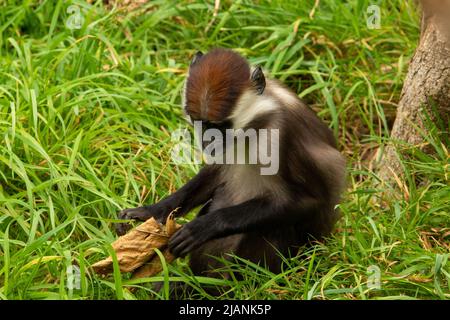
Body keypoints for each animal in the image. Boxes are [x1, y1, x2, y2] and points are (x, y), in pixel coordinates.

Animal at [114, 47, 346, 280]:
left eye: (220, 126)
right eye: (199, 122)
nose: (207, 141)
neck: (255, 125)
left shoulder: (281, 135)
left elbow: (310, 200)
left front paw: (205, 226)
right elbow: (214, 174)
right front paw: (150, 212)